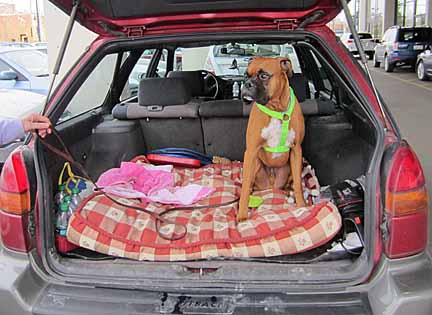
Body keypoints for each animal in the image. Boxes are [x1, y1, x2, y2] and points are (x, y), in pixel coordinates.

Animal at [238, 56, 306, 222]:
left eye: (264, 76)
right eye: (245, 75)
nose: (247, 84)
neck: (277, 109)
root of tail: (271, 186)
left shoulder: (297, 150)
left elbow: (299, 184)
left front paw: (302, 206)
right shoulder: (251, 151)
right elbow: (244, 188)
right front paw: (242, 216)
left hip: (296, 163)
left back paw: (289, 194)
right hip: (255, 163)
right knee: (249, 185)